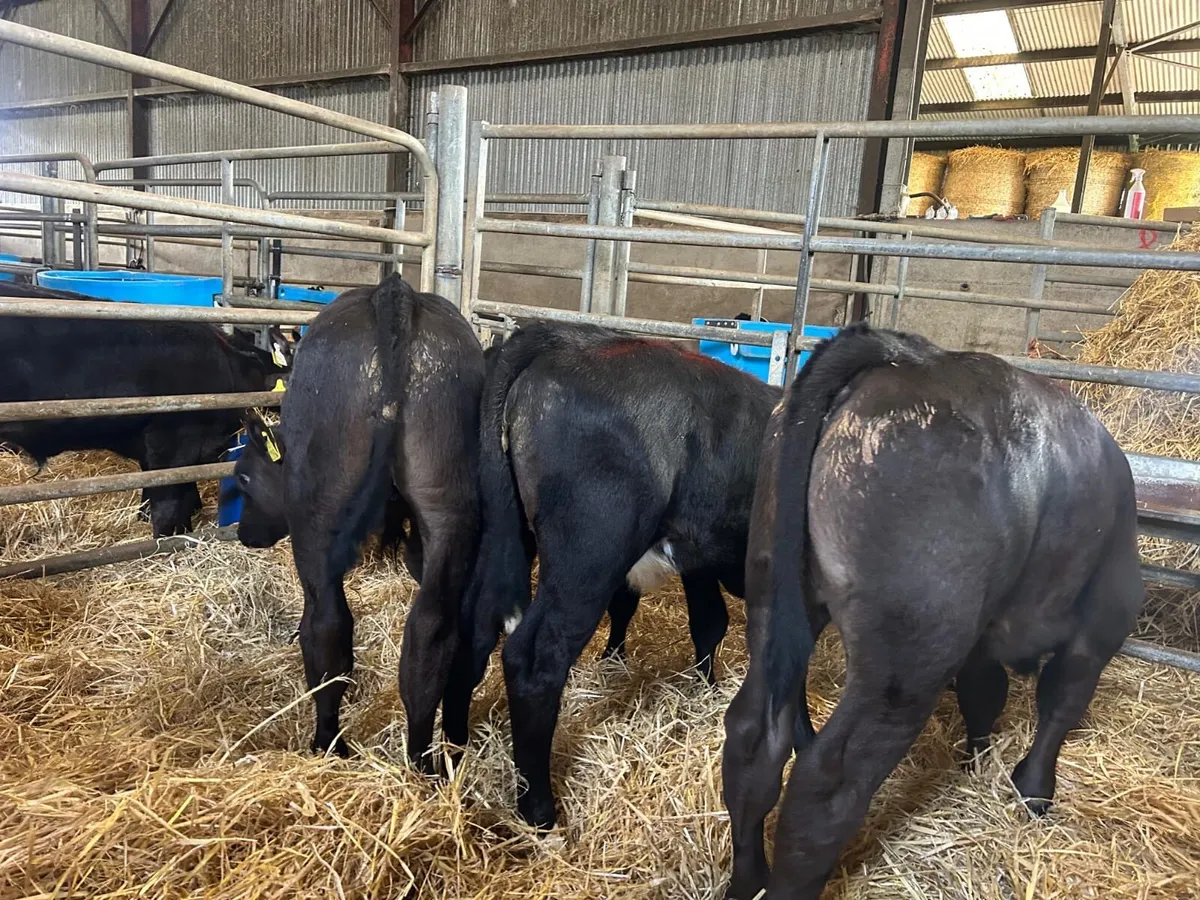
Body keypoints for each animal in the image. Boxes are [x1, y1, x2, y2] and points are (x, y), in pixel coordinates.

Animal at [231, 274, 487, 771]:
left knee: (326, 623)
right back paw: (421, 762)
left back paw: (328, 741)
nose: (243, 534)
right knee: (430, 629)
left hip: (317, 510)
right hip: (448, 498)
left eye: (243, 477)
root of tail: (393, 294)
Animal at [442, 321, 781, 830]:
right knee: (534, 658)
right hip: (589, 552)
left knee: (476, 628)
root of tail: (562, 337)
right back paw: (539, 810)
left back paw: (452, 753)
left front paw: (704, 689)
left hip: (503, 538)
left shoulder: (697, 555)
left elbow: (709, 623)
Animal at [721, 324, 1143, 900]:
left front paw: (976, 761)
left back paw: (747, 878)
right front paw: (1033, 791)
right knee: (827, 783)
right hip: (909, 656)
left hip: (774, 595)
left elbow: (984, 693)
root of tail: (907, 357)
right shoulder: (1099, 621)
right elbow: (1061, 702)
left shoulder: (983, 635)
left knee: (753, 737)